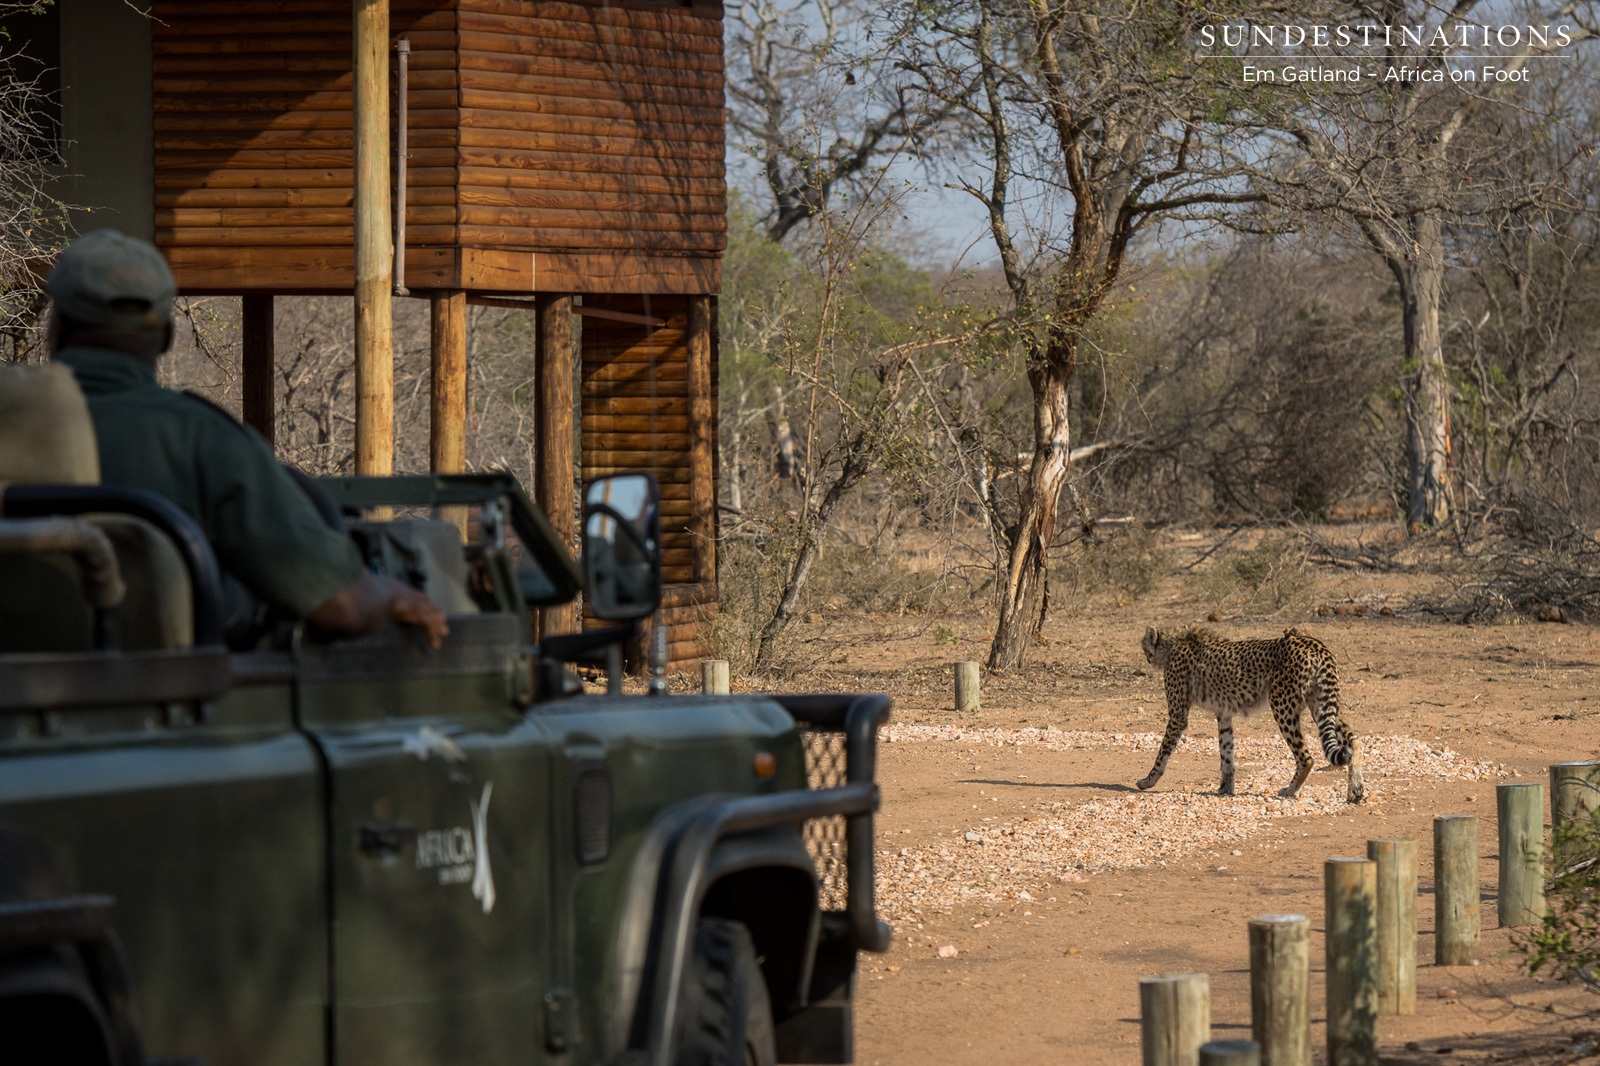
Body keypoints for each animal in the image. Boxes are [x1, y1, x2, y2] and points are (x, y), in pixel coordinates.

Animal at [1136, 625, 1365, 803]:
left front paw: (1147, 780)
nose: (1145, 657)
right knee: (1353, 742)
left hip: (1282, 704)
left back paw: (1290, 791)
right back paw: (1355, 791)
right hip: (1321, 703)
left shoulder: (1178, 716)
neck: (1173, 644)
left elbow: (1162, 753)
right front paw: (1225, 789)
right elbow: (1226, 754)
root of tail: (1314, 643)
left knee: (1306, 758)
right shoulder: (1224, 713)